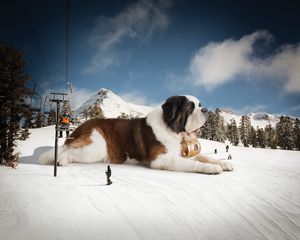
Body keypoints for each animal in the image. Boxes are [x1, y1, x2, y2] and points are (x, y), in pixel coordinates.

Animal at [38, 94, 233, 173]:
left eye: (200, 105)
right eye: (190, 108)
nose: (206, 110)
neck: (174, 130)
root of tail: (81, 128)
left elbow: (205, 157)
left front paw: (223, 163)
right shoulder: (162, 159)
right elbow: (193, 163)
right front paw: (212, 169)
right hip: (94, 148)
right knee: (69, 152)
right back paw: (61, 161)